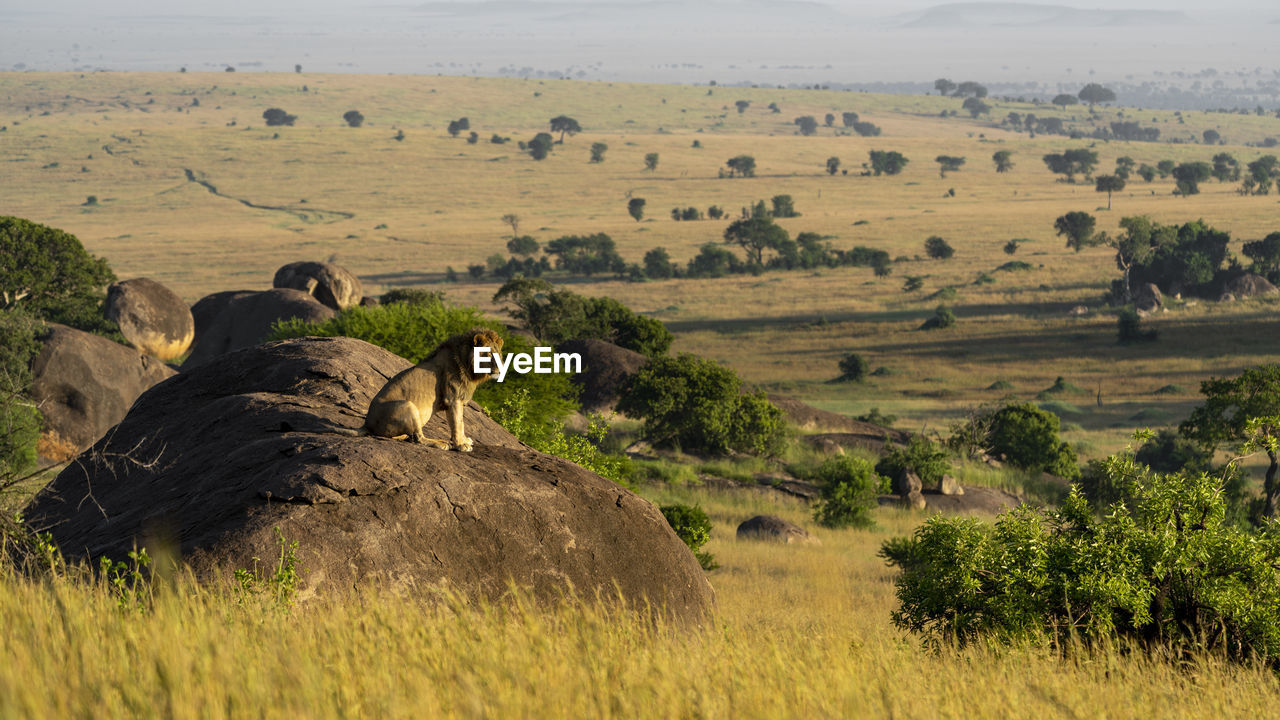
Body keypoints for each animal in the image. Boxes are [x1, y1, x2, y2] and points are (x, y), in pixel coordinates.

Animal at [358, 328, 504, 451]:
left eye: (499, 354)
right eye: (489, 354)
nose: (500, 370)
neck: (468, 366)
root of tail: (367, 423)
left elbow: (460, 422)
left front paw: (464, 440)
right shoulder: (453, 398)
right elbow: (458, 423)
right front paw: (460, 445)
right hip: (407, 405)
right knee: (419, 439)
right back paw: (440, 443)